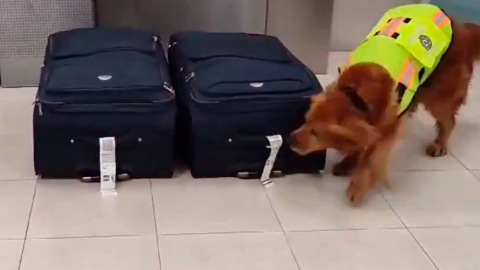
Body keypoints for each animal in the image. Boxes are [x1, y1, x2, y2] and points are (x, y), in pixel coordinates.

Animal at [288, 15, 480, 206]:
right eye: (306, 120)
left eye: (316, 133)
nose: (290, 140)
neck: (356, 97)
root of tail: (462, 27)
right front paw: (348, 163)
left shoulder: (386, 131)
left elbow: (370, 160)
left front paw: (357, 187)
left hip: (439, 96)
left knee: (449, 121)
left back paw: (440, 144)